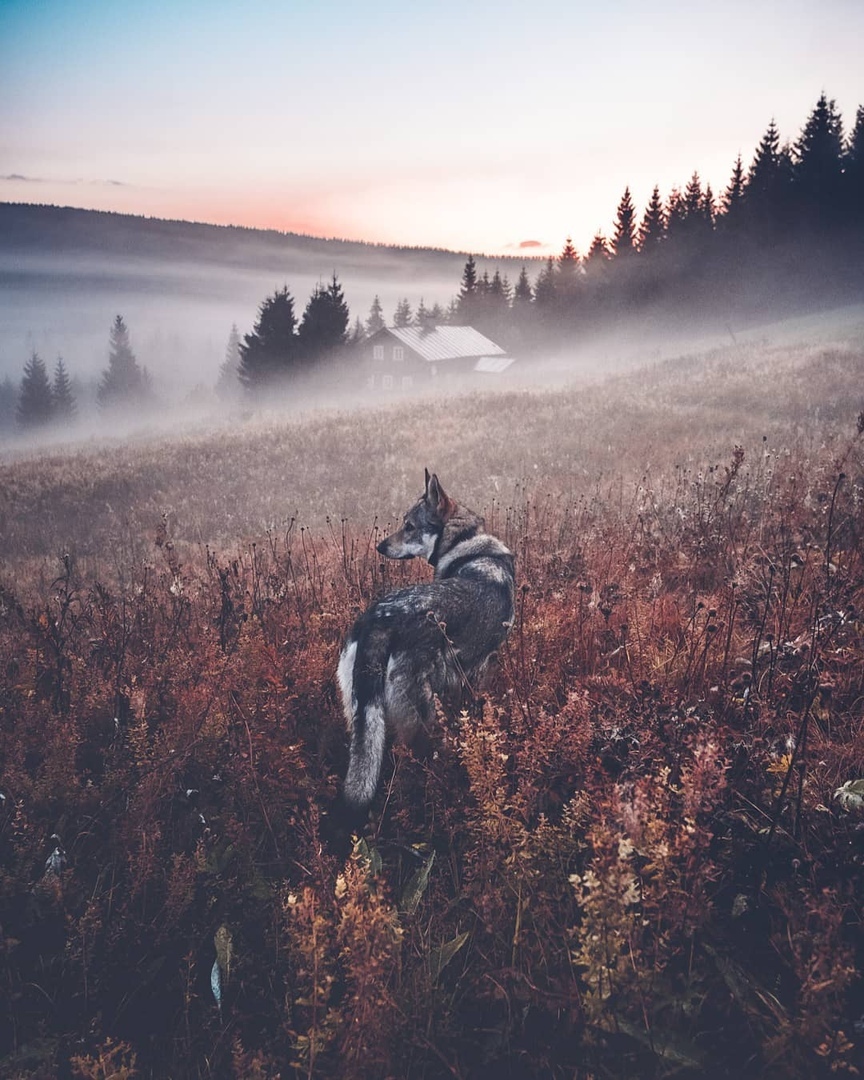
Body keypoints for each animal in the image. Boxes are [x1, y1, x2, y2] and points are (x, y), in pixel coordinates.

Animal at [334, 468, 514, 812]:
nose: (380, 547)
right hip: (422, 720)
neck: (467, 544)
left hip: (361, 715)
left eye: (409, 526)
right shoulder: (481, 669)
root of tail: (378, 619)